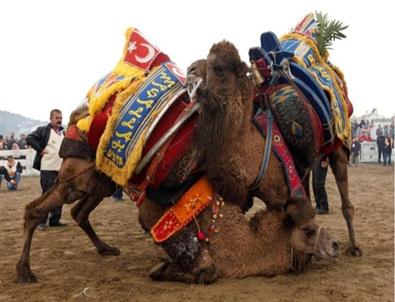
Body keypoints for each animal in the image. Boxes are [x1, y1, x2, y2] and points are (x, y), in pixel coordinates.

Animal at [187, 40, 364, 258]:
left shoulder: (278, 195)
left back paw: (354, 247)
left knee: (345, 202)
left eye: (219, 68)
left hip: (339, 145)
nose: (190, 70)